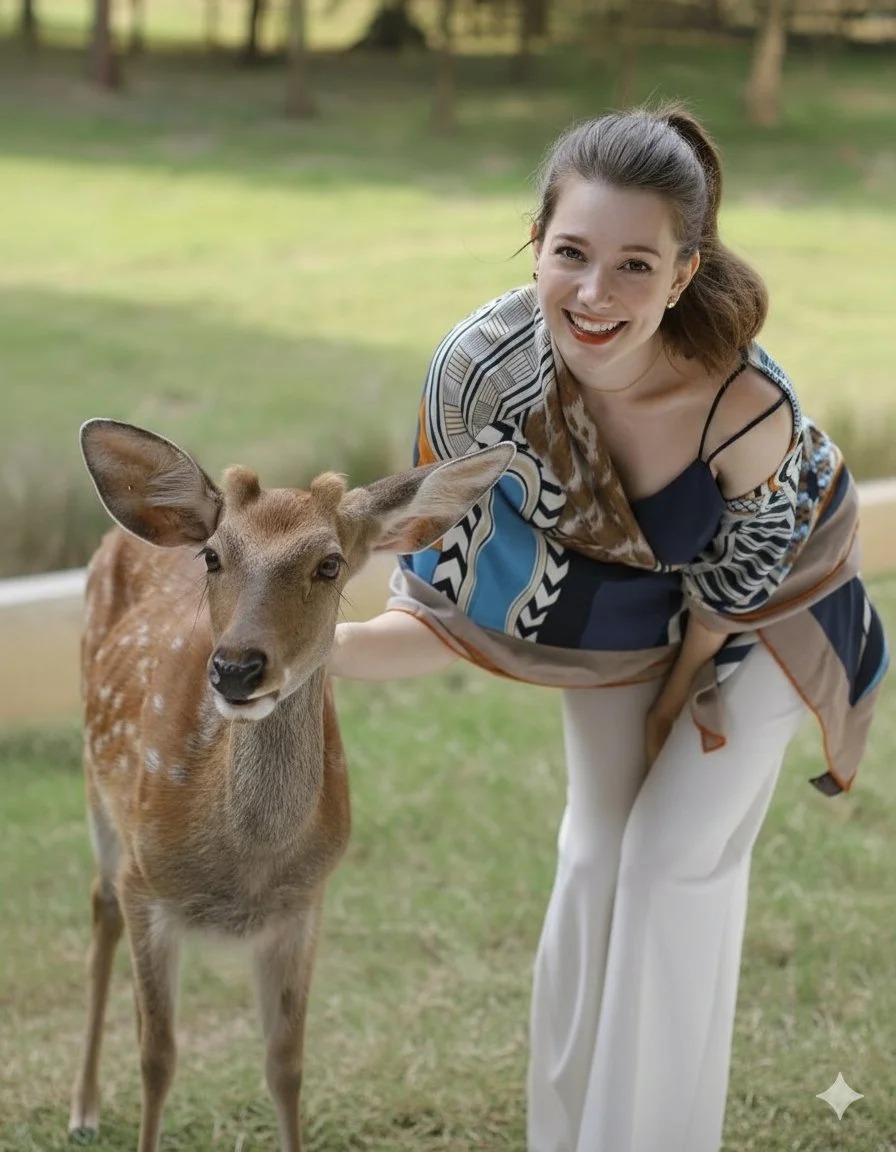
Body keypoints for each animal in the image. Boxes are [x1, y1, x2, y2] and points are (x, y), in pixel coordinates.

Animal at [69, 418, 514, 1152]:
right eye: (214, 557)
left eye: (329, 564)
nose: (236, 669)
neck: (245, 863)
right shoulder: (146, 884)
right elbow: (157, 1057)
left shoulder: (304, 902)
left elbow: (286, 1064)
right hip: (98, 788)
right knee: (99, 905)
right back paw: (82, 1109)